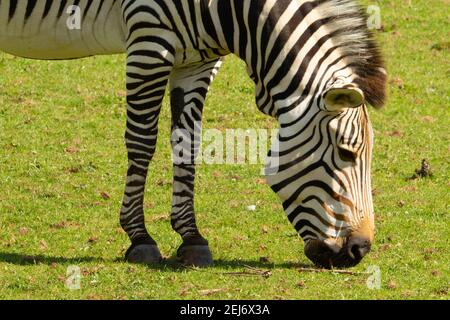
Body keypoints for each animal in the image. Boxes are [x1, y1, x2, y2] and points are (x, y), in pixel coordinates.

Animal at [0, 0, 386, 268]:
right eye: (347, 153)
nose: (360, 249)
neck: (233, 15)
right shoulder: (149, 41)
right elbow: (142, 141)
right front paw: (139, 237)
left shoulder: (197, 60)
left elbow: (188, 143)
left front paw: (191, 237)